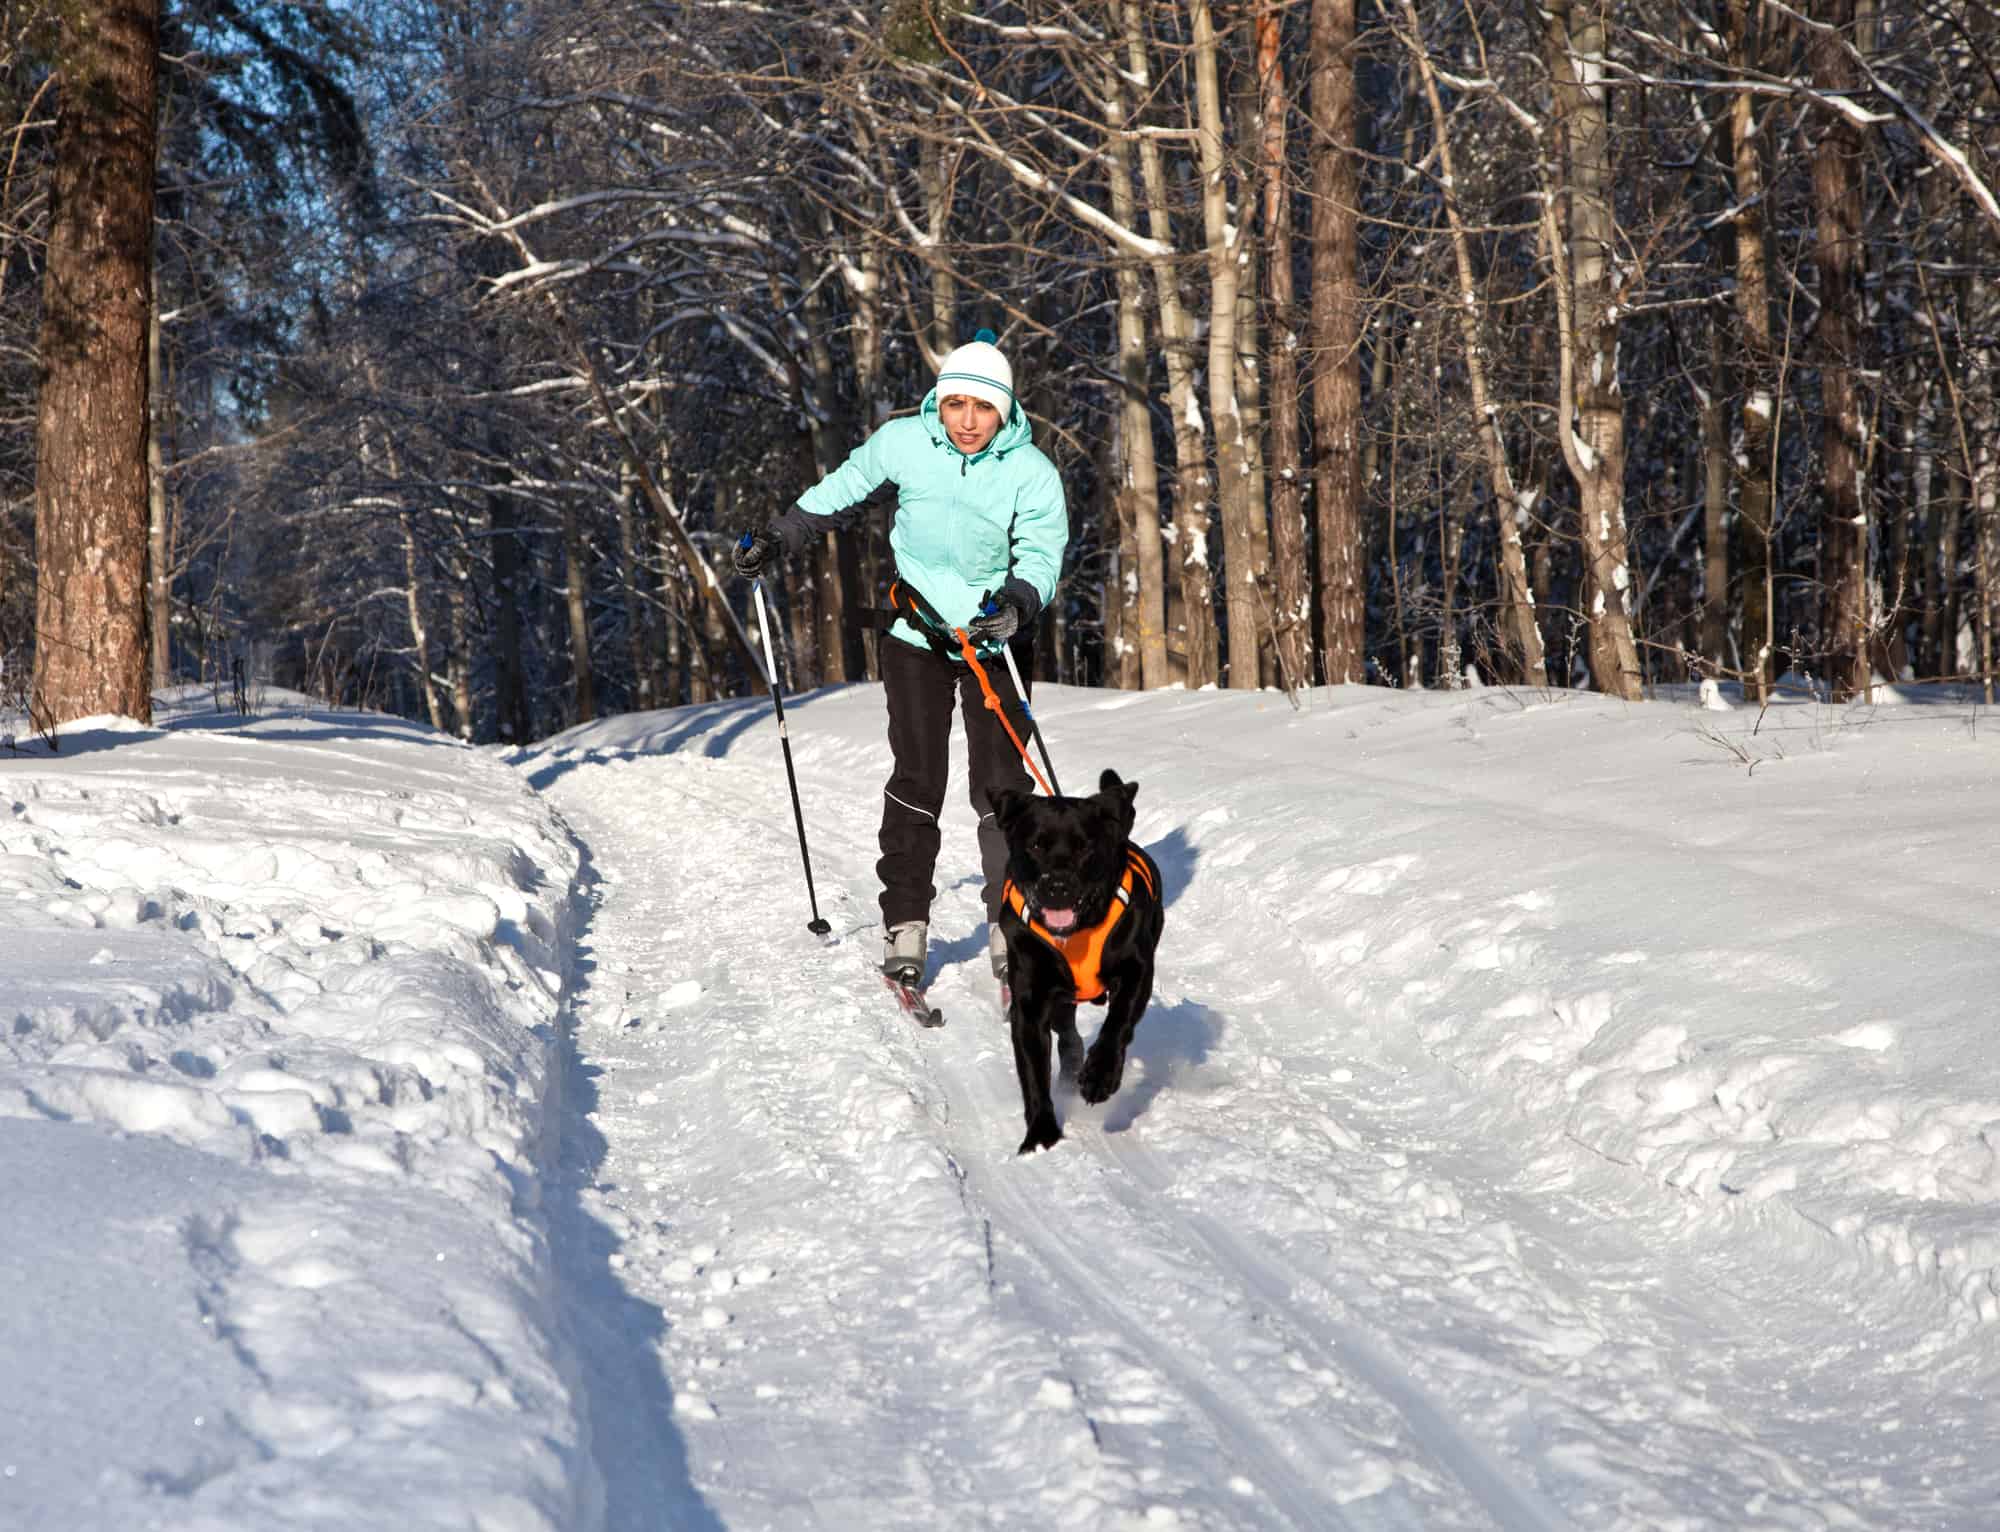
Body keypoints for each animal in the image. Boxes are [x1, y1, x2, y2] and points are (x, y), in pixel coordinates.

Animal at [992, 776, 1168, 1160]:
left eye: (1085, 847)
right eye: (1036, 844)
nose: (1058, 886)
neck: (1075, 934)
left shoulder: (1137, 969)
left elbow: (1118, 1024)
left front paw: (1100, 1077)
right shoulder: (1029, 1000)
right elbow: (1033, 1072)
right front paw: (1040, 1136)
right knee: (1067, 1034)